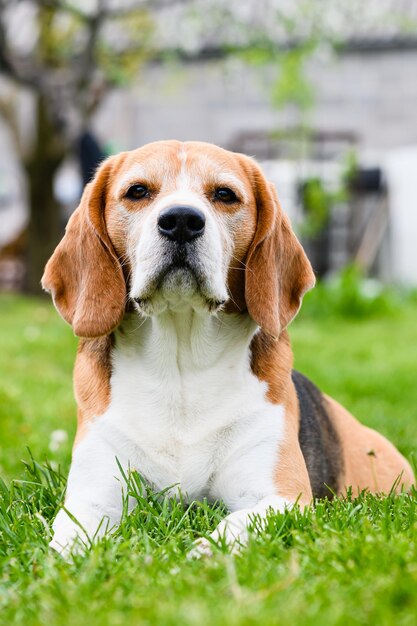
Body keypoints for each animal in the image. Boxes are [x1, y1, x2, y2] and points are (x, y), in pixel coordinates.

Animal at [42, 139, 412, 552]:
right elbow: (70, 537)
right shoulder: (92, 495)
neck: (180, 364)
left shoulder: (282, 497)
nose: (182, 220)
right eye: (137, 191)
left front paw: (202, 553)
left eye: (224, 195)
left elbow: (233, 525)